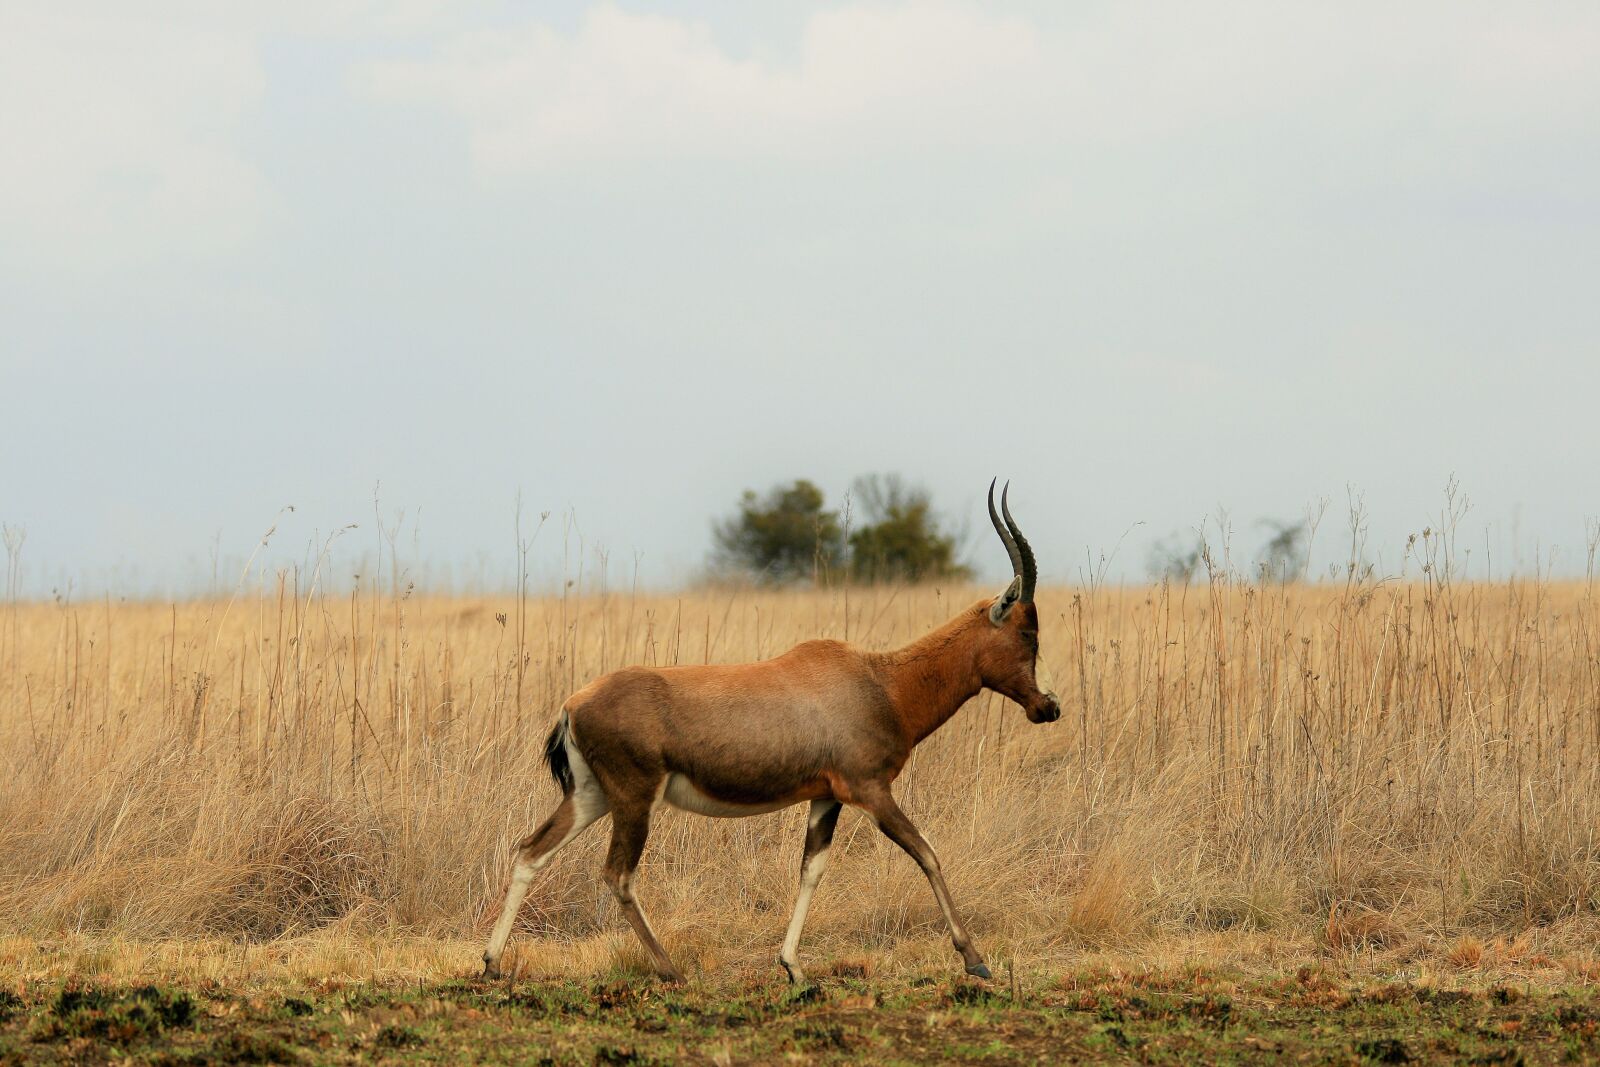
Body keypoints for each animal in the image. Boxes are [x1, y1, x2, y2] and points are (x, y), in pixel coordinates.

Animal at [482, 480, 1060, 984]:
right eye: (1026, 631)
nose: (1047, 706)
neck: (879, 681)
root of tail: (572, 705)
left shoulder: (827, 797)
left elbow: (811, 870)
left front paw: (793, 967)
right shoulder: (870, 790)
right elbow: (927, 853)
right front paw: (976, 960)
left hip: (592, 795)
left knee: (531, 850)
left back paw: (490, 964)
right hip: (634, 798)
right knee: (617, 874)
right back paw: (671, 971)